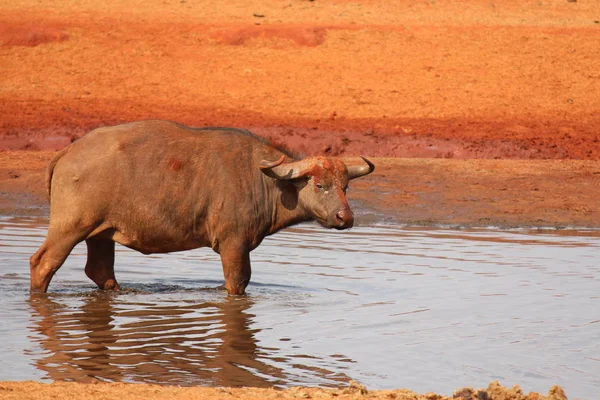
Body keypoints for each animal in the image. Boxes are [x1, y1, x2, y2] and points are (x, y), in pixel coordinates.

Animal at [31, 119, 376, 294]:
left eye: (345, 186)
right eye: (319, 185)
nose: (345, 217)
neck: (265, 181)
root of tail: (69, 152)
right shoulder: (233, 244)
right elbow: (237, 282)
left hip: (100, 233)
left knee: (100, 270)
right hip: (71, 227)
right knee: (43, 264)